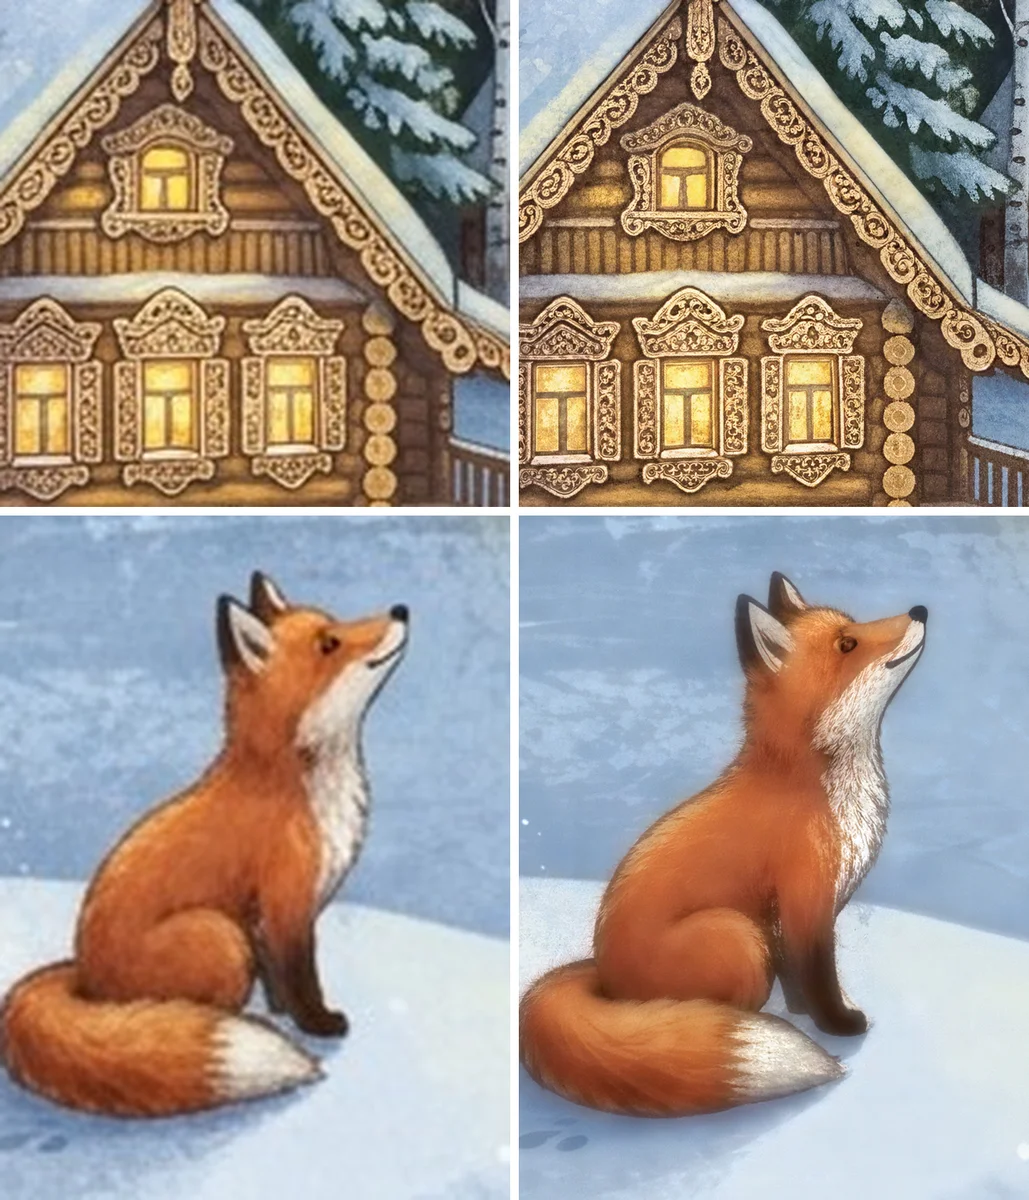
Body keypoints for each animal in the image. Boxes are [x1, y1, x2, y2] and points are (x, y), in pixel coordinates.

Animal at [0, 572, 408, 1118]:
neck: (301, 786)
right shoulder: (284, 906)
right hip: (221, 936)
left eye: (334, 621)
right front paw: (318, 1024)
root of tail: (83, 977)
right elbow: (301, 977)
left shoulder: (270, 923)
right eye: (330, 643)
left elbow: (281, 981)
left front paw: (282, 1011)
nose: (402, 609)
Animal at [520, 572, 927, 1118]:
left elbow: (798, 978)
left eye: (853, 624)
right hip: (738, 936)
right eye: (848, 643)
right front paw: (837, 1024)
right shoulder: (806, 901)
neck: (820, 789)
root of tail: (603, 977)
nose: (920, 610)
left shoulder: (788, 920)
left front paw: (801, 1011)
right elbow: (819, 975)